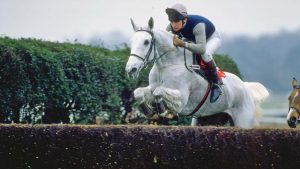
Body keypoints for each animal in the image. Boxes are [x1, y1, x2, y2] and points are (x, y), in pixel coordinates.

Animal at [125, 17, 268, 128]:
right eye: (131, 41)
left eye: (146, 42)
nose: (131, 69)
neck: (168, 65)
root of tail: (245, 87)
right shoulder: (151, 86)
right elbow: (139, 92)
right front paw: (150, 112)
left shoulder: (182, 98)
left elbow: (158, 91)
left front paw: (165, 112)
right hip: (206, 119)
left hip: (242, 121)